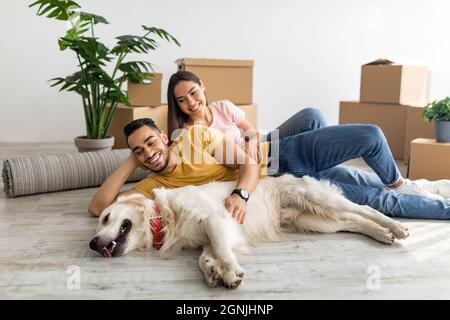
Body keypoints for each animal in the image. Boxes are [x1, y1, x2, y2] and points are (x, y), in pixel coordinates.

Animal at [88, 174, 408, 288]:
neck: (164, 217)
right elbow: (205, 256)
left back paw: (398, 228)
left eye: (106, 217)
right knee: (354, 221)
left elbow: (219, 250)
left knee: (364, 209)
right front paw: (213, 271)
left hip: (319, 200)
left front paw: (230, 273)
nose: (92, 243)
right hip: (317, 221)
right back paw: (382, 235)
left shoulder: (214, 219)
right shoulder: (211, 235)